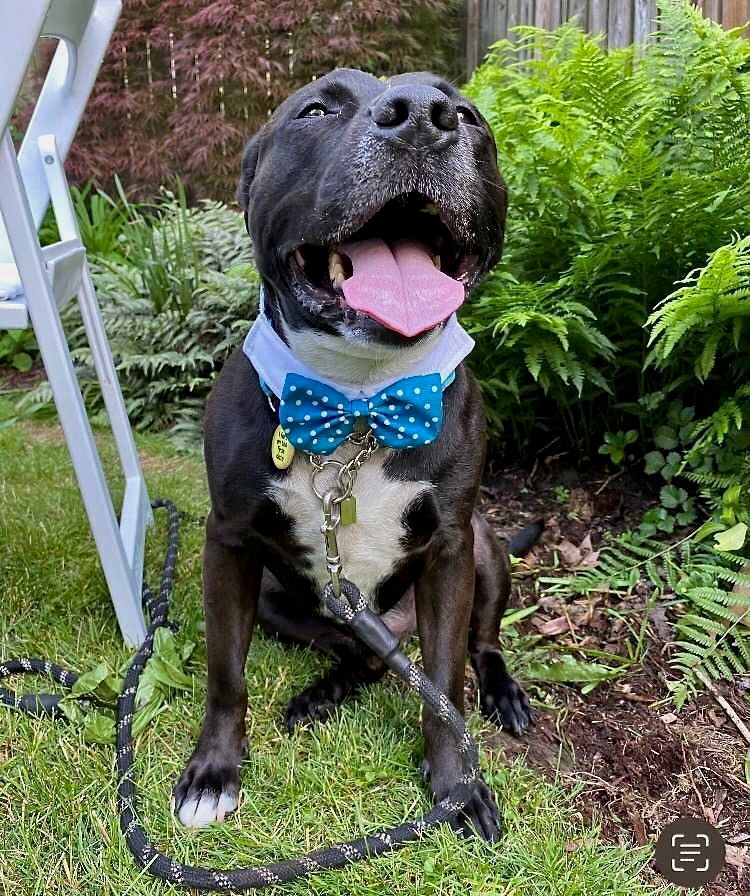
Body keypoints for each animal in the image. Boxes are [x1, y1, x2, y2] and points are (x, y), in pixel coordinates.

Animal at [176, 68, 536, 840]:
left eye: (468, 116)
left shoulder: (451, 552)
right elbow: (226, 674)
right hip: (283, 597)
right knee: (361, 655)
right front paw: (213, 772)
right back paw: (324, 692)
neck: (359, 398)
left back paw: (504, 693)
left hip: (487, 549)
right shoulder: (228, 544)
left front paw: (458, 788)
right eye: (315, 110)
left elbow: (445, 686)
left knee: (481, 645)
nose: (424, 118)